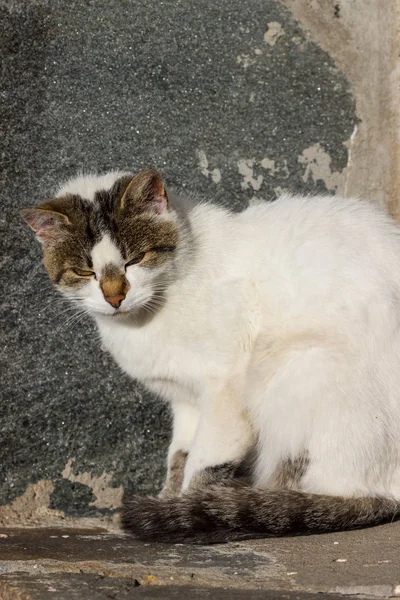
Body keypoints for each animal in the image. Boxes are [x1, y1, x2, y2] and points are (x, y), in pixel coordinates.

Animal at [21, 168, 400, 544]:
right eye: (85, 272)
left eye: (135, 259)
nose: (115, 297)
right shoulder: (185, 400)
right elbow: (178, 456)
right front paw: (170, 499)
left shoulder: (225, 388)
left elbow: (203, 464)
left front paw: (184, 509)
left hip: (301, 370)